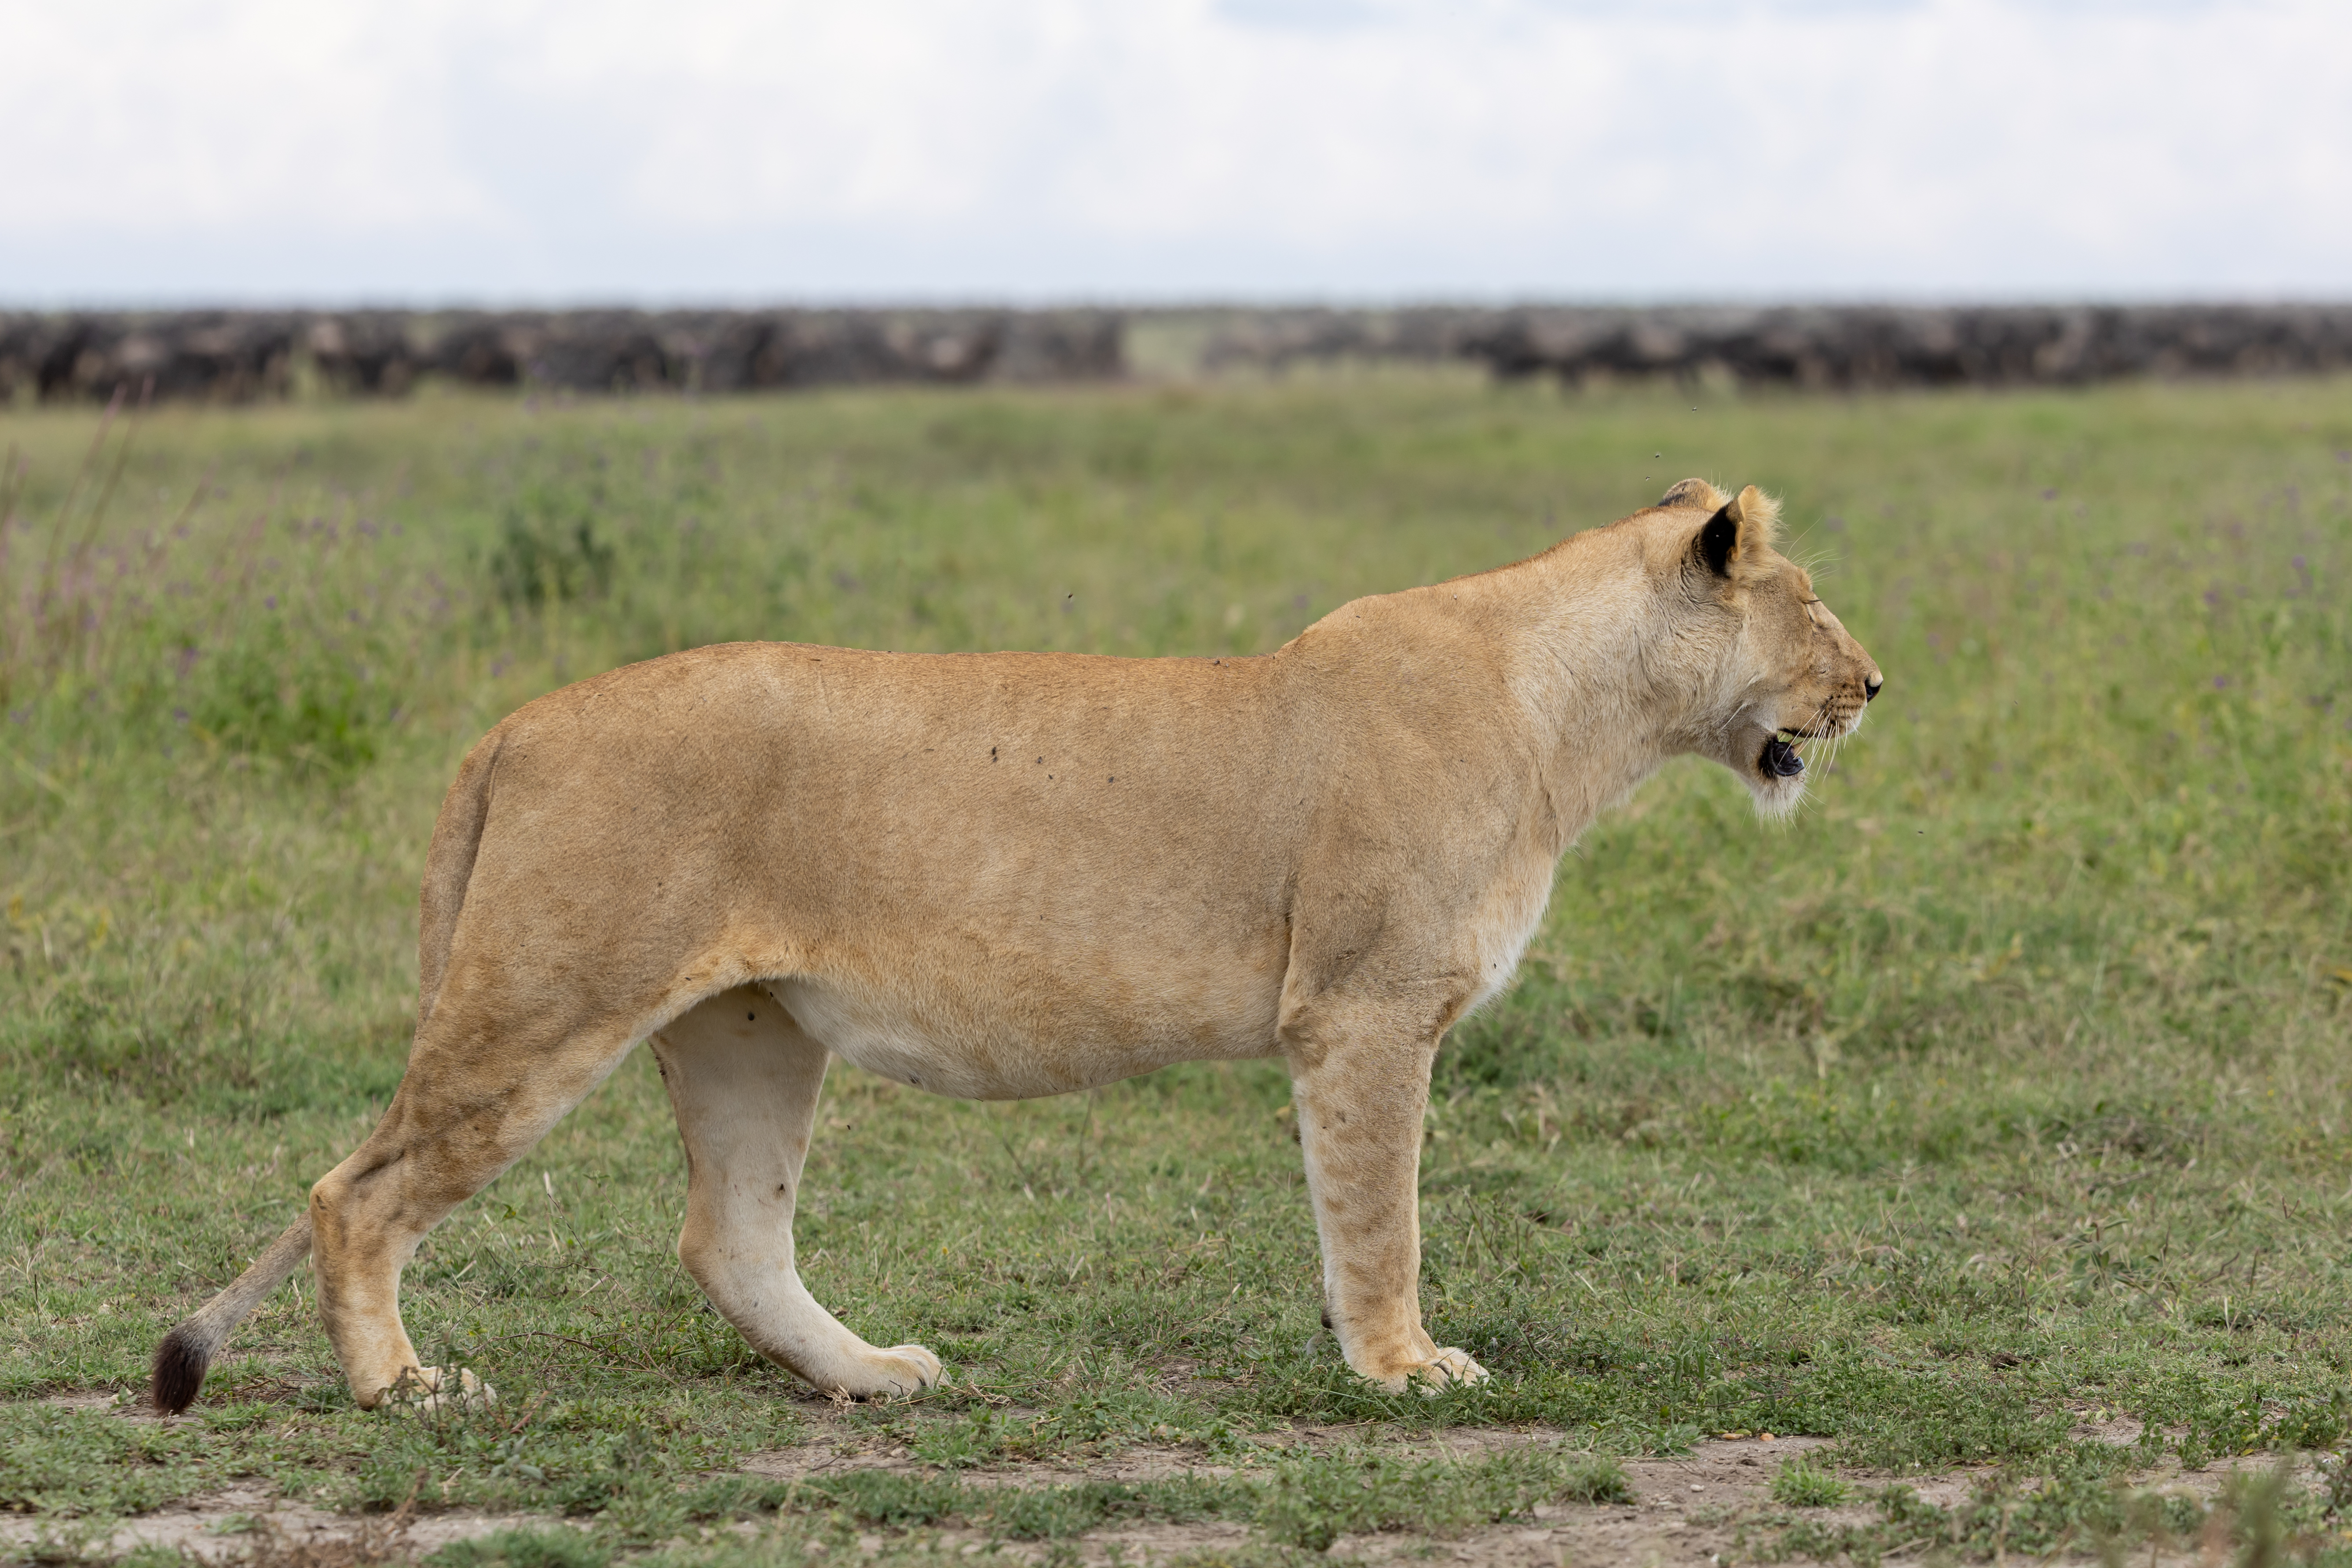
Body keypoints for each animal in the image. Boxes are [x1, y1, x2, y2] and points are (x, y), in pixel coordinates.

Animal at [152, 478, 1880, 1412]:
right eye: (1808, 604)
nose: (1874, 685)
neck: (1571, 718)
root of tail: (513, 723)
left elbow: (1356, 1212)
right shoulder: (1365, 1013)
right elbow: (1377, 1214)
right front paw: (1400, 1366)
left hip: (748, 1028)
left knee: (728, 1238)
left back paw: (870, 1374)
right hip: (543, 1004)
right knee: (354, 1193)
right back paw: (400, 1387)